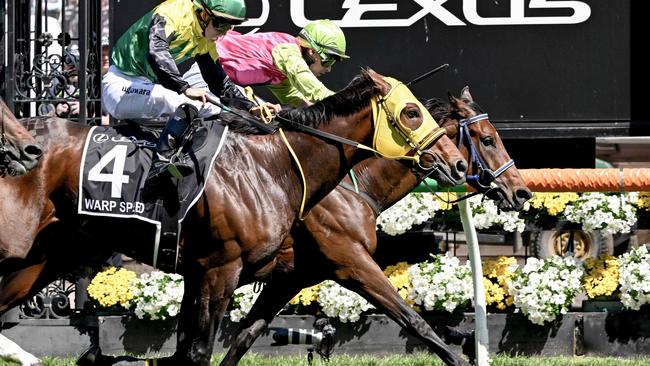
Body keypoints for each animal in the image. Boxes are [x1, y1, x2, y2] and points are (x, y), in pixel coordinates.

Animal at [0, 70, 466, 364]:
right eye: (411, 112)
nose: (459, 166)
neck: (273, 167)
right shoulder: (229, 268)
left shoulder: (234, 273)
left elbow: (218, 343)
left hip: (47, 258)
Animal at [219, 88, 532, 366]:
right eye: (488, 140)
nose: (522, 192)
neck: (350, 187)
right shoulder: (354, 263)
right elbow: (416, 322)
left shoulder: (291, 278)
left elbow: (246, 335)